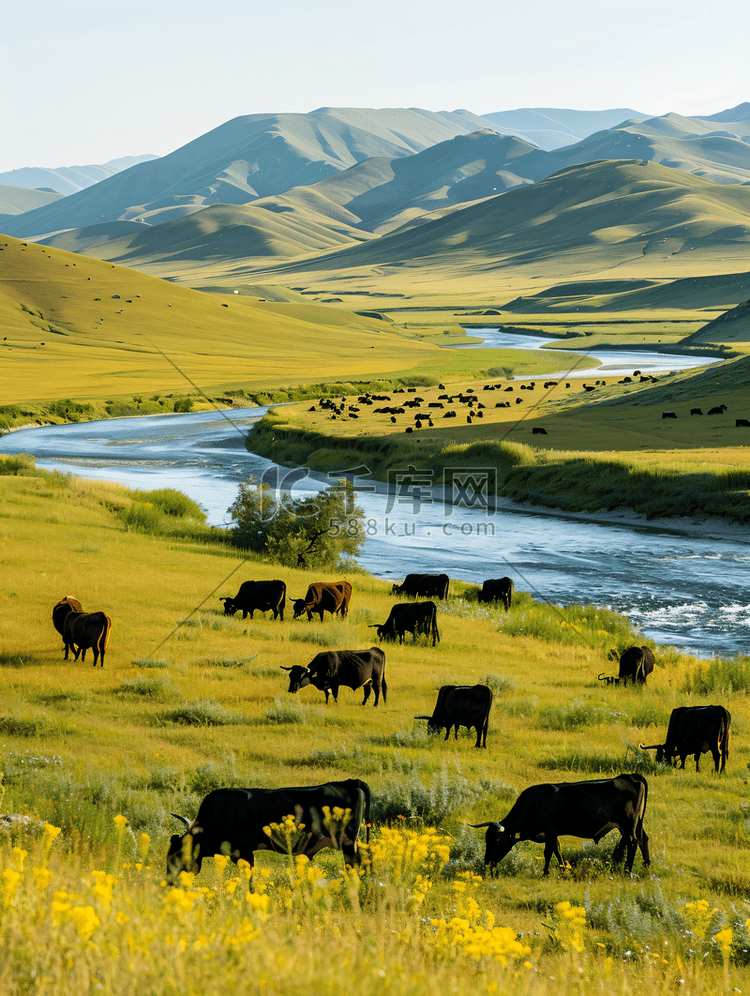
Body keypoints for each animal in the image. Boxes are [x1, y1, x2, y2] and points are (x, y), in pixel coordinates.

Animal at [470, 776, 652, 876]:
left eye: (496, 840)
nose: (487, 861)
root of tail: (629, 777)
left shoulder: (550, 832)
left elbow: (548, 852)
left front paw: (545, 873)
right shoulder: (553, 834)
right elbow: (558, 851)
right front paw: (564, 870)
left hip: (628, 824)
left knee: (633, 843)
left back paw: (627, 871)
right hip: (634, 825)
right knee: (643, 839)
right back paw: (646, 865)